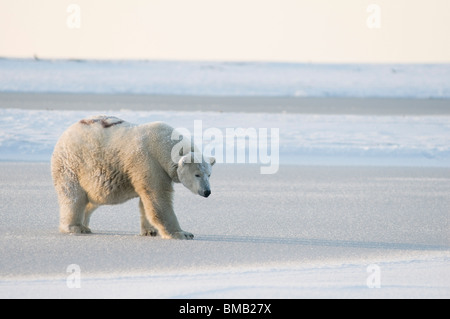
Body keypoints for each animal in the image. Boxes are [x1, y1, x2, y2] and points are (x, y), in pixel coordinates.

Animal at [51, 115, 216, 240]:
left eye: (209, 174)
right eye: (197, 174)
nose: (207, 192)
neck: (162, 144)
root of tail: (64, 134)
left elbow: (146, 199)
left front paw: (150, 231)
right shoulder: (148, 161)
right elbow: (158, 197)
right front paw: (182, 233)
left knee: (94, 198)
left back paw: (85, 223)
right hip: (73, 164)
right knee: (73, 196)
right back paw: (76, 227)